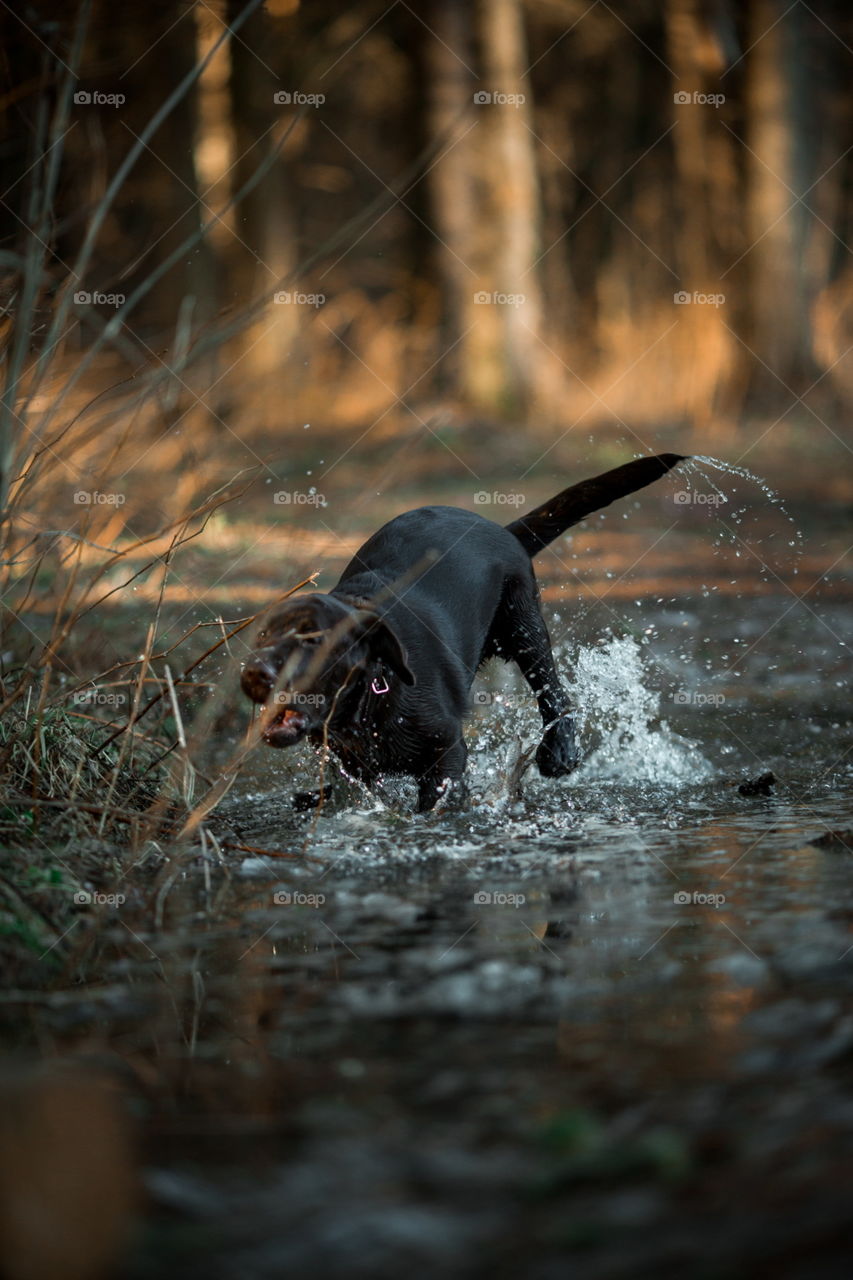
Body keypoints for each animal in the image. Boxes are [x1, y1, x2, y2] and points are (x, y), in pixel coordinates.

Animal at [239, 453, 686, 808]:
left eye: (313, 639)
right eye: (261, 636)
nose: (254, 674)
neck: (372, 696)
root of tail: (503, 529)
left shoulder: (447, 751)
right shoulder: (354, 766)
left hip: (525, 628)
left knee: (554, 691)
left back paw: (558, 751)